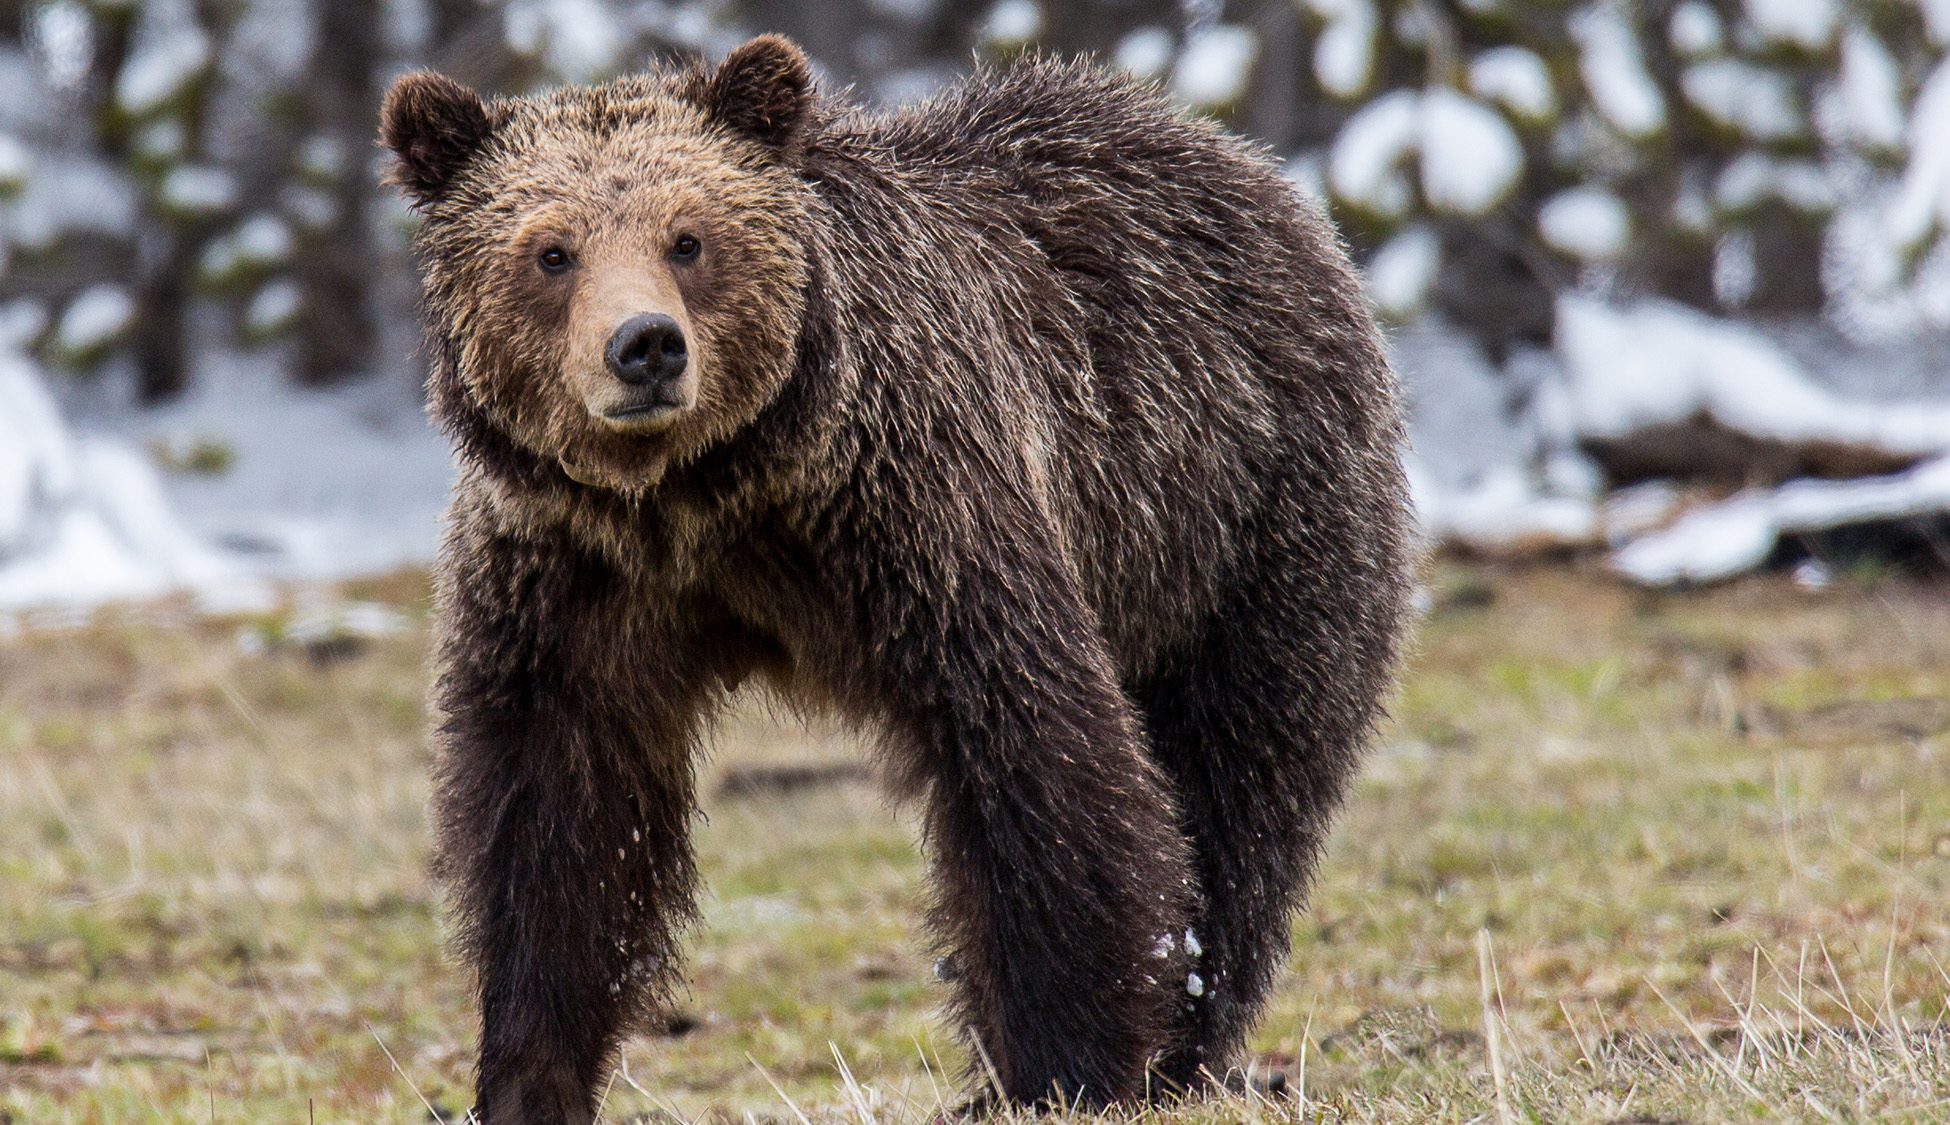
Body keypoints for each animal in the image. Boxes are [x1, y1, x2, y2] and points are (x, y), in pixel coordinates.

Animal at [380, 36, 1412, 1125]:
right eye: (551, 251)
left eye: (689, 238)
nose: (646, 345)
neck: (700, 499)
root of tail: (1248, 166)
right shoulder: (571, 585)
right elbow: (559, 824)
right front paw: (525, 1073)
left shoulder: (913, 517)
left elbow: (1036, 761)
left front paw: (1063, 1066)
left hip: (1239, 522)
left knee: (1239, 779)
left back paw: (1187, 1041)